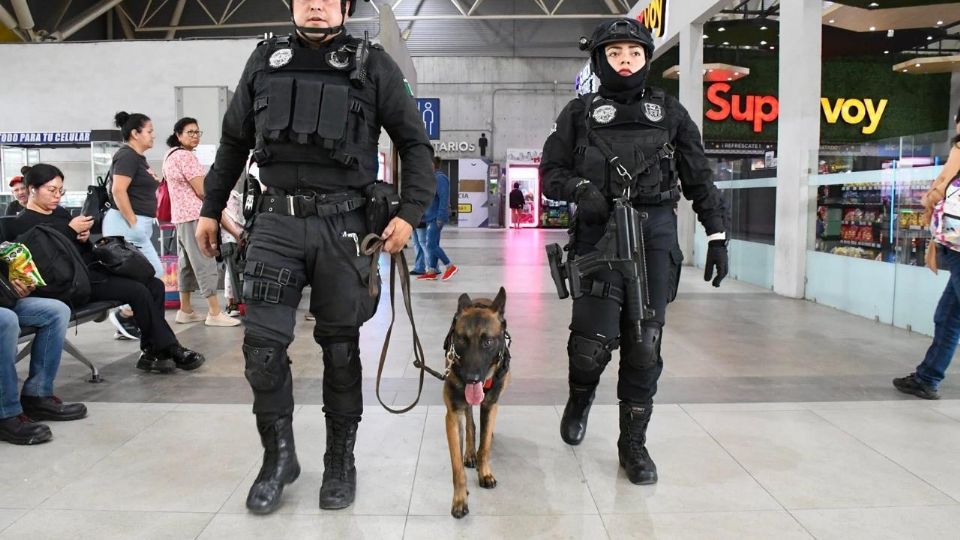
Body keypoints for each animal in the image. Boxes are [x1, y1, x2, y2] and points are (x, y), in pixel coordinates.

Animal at [442, 287, 511, 519]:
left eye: (487, 342)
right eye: (462, 339)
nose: (471, 379)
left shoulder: (490, 406)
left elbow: (486, 446)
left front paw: (485, 472)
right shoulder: (453, 416)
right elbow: (457, 468)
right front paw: (459, 499)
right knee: (471, 425)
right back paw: (470, 453)